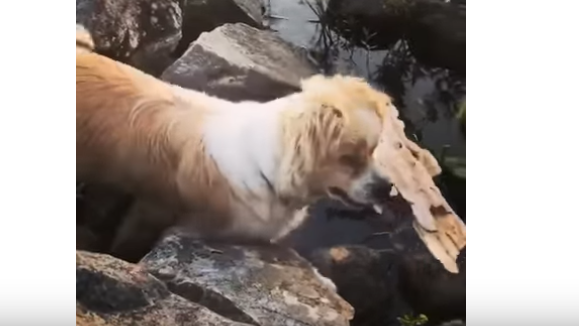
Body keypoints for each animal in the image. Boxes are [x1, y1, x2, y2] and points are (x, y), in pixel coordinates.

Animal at [76, 25, 394, 264]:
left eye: (374, 150)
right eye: (348, 158)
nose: (387, 187)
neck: (268, 172)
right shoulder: (155, 211)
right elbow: (128, 241)